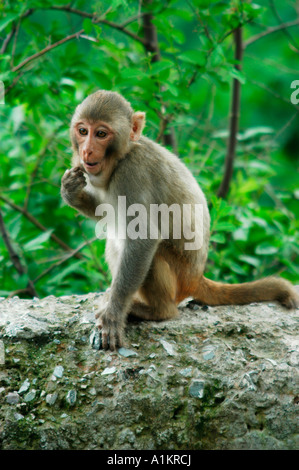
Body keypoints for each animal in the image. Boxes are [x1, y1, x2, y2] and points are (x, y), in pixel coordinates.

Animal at [61, 90, 299, 350]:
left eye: (101, 134)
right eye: (83, 131)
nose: (86, 151)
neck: (123, 156)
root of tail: (197, 278)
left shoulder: (132, 174)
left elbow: (144, 238)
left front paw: (113, 316)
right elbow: (109, 213)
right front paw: (72, 193)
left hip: (179, 277)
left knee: (149, 252)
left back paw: (157, 311)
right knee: (116, 240)